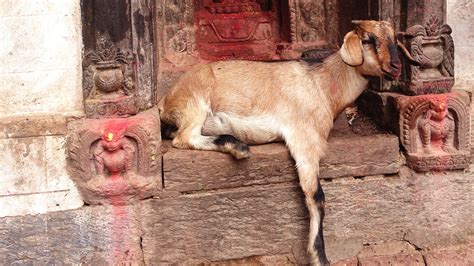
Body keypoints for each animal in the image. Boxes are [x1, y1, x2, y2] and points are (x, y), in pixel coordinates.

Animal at [157, 21, 416, 266]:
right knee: (185, 137)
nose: (396, 66)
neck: (322, 85)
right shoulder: (304, 139)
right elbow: (316, 196)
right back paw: (238, 147)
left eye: (394, 40)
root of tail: (166, 101)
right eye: (367, 40)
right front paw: (319, 256)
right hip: (196, 100)